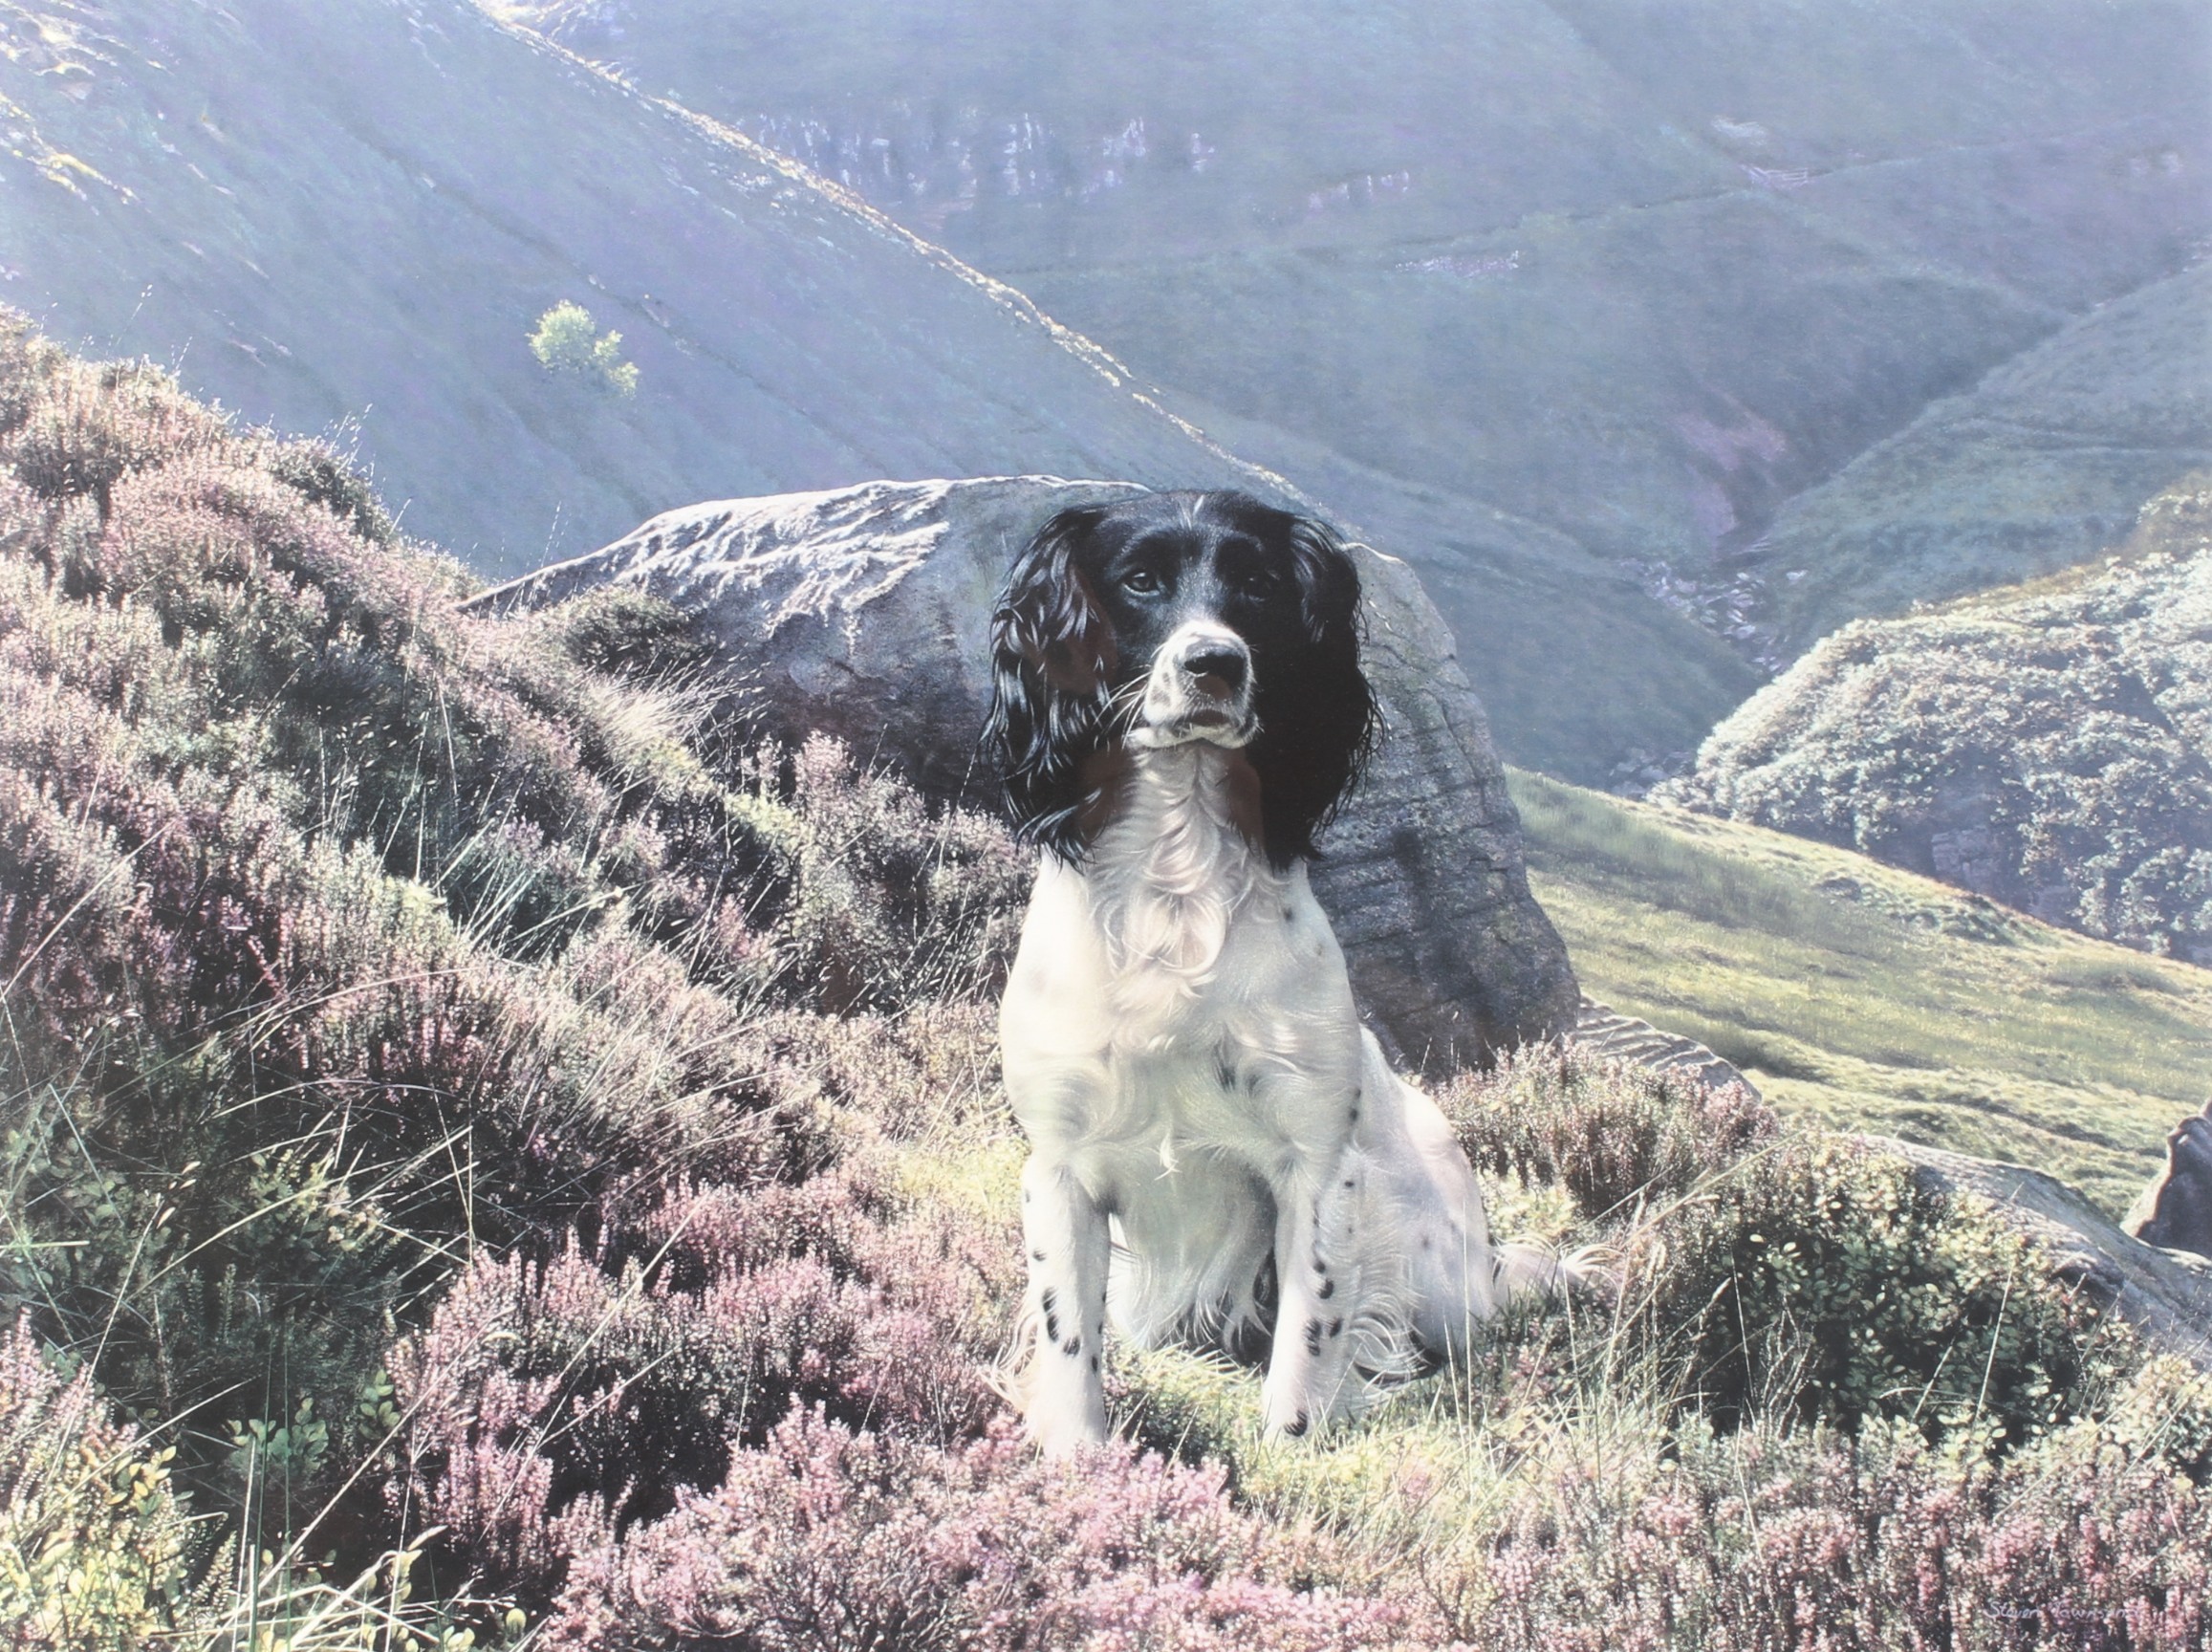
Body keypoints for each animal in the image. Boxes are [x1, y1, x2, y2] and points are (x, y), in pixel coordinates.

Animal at [987, 489, 1574, 1450]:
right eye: (1140, 579)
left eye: (1259, 585)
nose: (1217, 663)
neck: (1178, 885)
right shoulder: (1060, 1166)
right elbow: (1067, 1336)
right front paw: (1075, 1457)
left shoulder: (1317, 1165)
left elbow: (1308, 1337)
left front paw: (1290, 1451)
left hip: (1443, 1282)